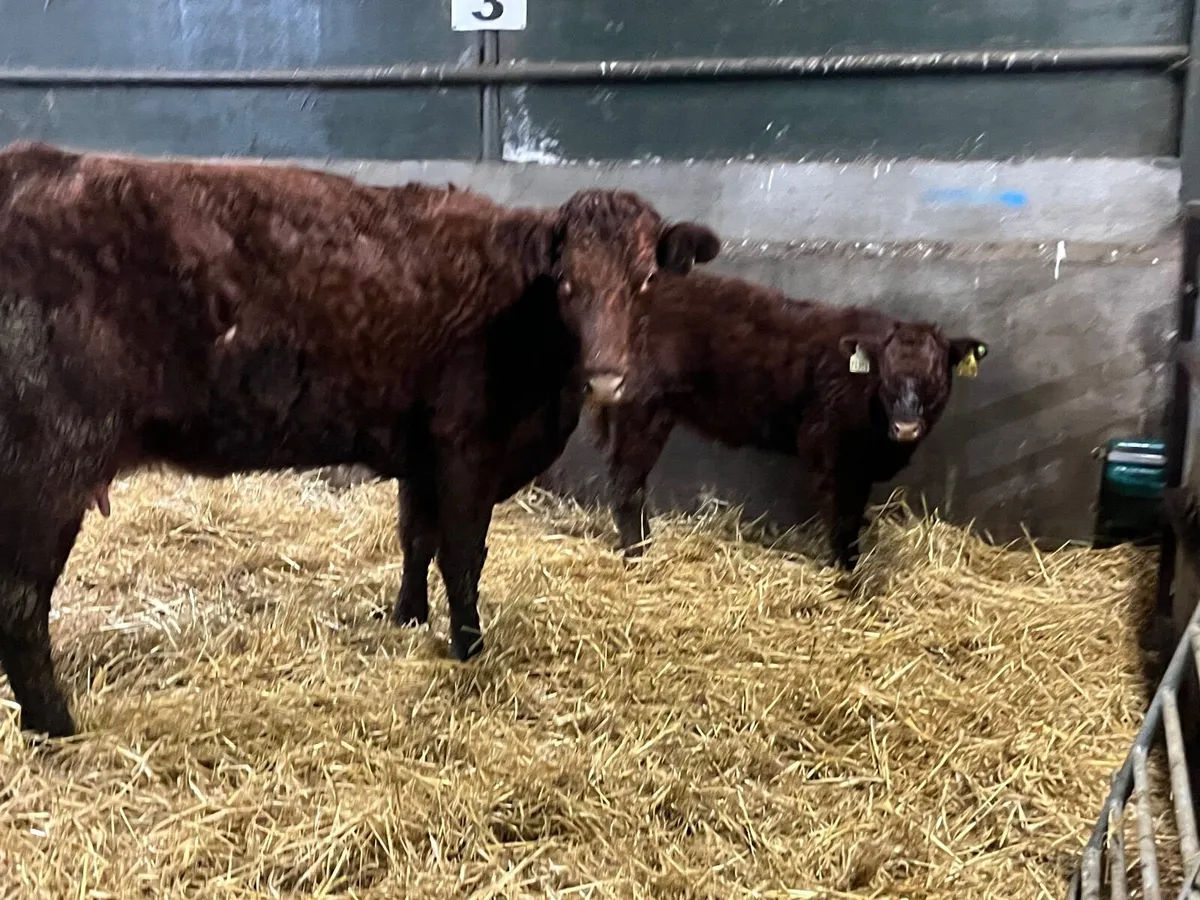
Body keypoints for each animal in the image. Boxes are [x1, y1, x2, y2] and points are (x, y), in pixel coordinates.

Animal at [0, 140, 720, 738]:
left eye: (645, 281)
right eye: (567, 284)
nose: (607, 377)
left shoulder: (421, 452)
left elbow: (416, 540)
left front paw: (407, 617)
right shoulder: (467, 446)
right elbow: (463, 555)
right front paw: (470, 649)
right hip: (48, 466)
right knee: (22, 602)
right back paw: (55, 727)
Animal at [588, 269, 987, 571]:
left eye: (936, 378)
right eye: (885, 378)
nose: (906, 427)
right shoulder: (833, 453)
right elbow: (843, 519)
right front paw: (847, 574)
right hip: (641, 408)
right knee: (626, 481)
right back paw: (638, 552)